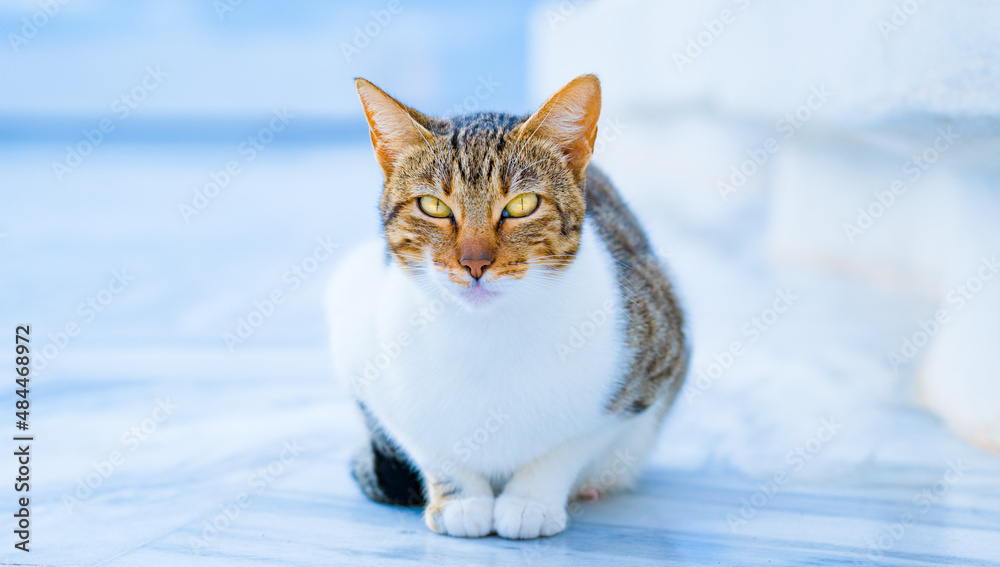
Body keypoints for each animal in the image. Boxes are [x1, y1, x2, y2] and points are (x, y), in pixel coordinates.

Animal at [328, 73, 688, 540]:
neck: (486, 334)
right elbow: (427, 446)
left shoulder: (651, 365)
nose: (474, 263)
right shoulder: (366, 363)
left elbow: (569, 444)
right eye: (433, 206)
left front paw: (530, 500)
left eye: (521, 205)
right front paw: (461, 499)